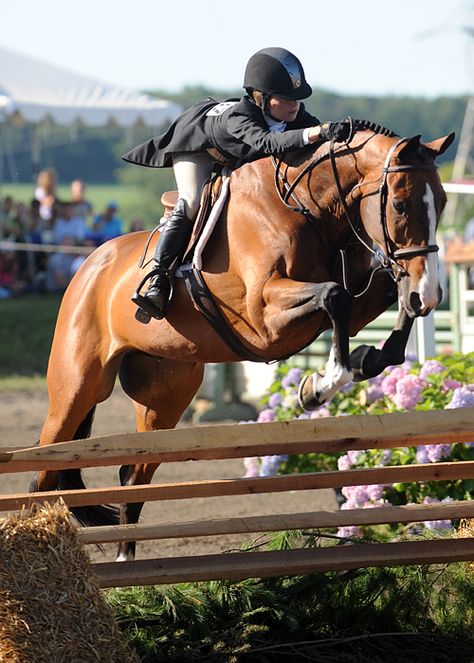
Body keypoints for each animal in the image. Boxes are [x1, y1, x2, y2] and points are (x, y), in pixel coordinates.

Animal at [30, 123, 456, 560]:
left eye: (441, 202)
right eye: (400, 205)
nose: (430, 295)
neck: (306, 208)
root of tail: (90, 265)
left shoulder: (353, 298)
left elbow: (384, 295)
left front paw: (366, 357)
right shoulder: (264, 318)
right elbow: (334, 296)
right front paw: (319, 385)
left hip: (164, 398)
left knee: (133, 476)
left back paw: (126, 564)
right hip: (77, 388)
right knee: (43, 474)